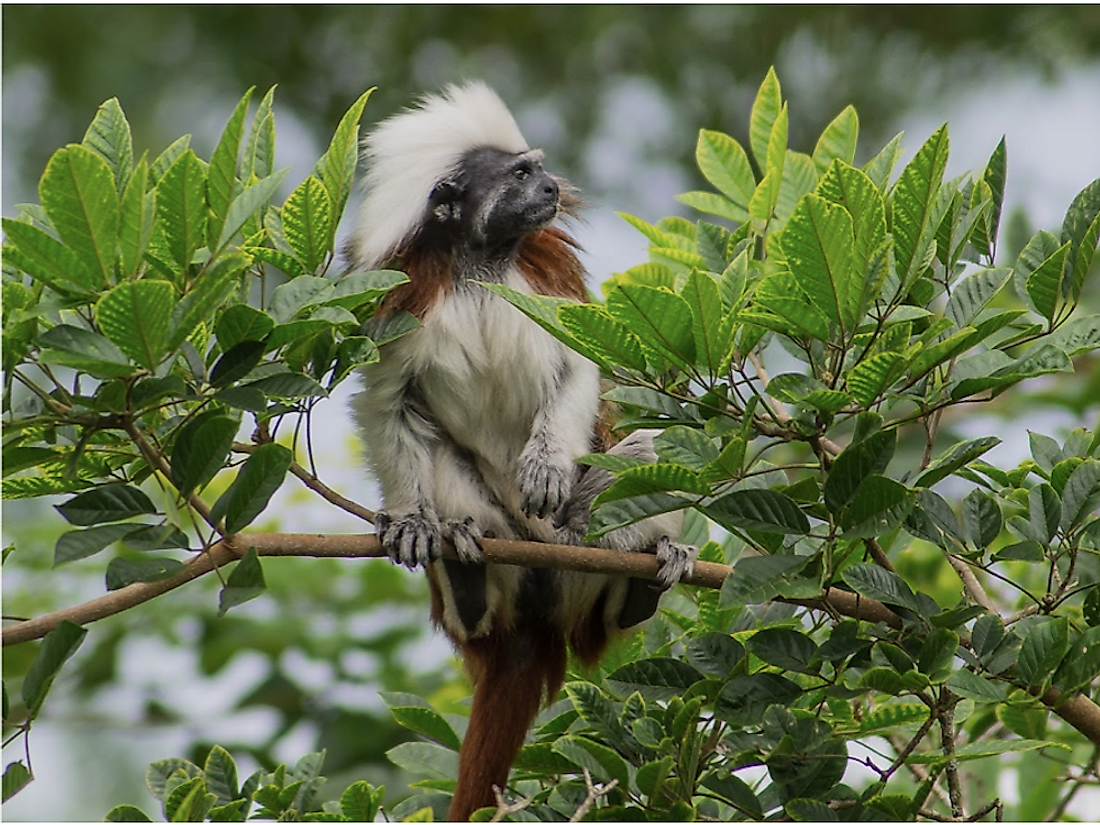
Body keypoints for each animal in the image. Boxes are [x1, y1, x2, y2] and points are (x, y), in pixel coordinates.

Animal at [347, 82, 690, 822]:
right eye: (520, 175)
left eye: (539, 169)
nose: (553, 187)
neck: (480, 265)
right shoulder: (406, 298)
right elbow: (387, 401)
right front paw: (410, 519)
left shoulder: (543, 274)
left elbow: (578, 365)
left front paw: (547, 467)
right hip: (505, 548)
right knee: (448, 475)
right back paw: (465, 573)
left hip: (575, 566)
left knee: (650, 454)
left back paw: (640, 583)